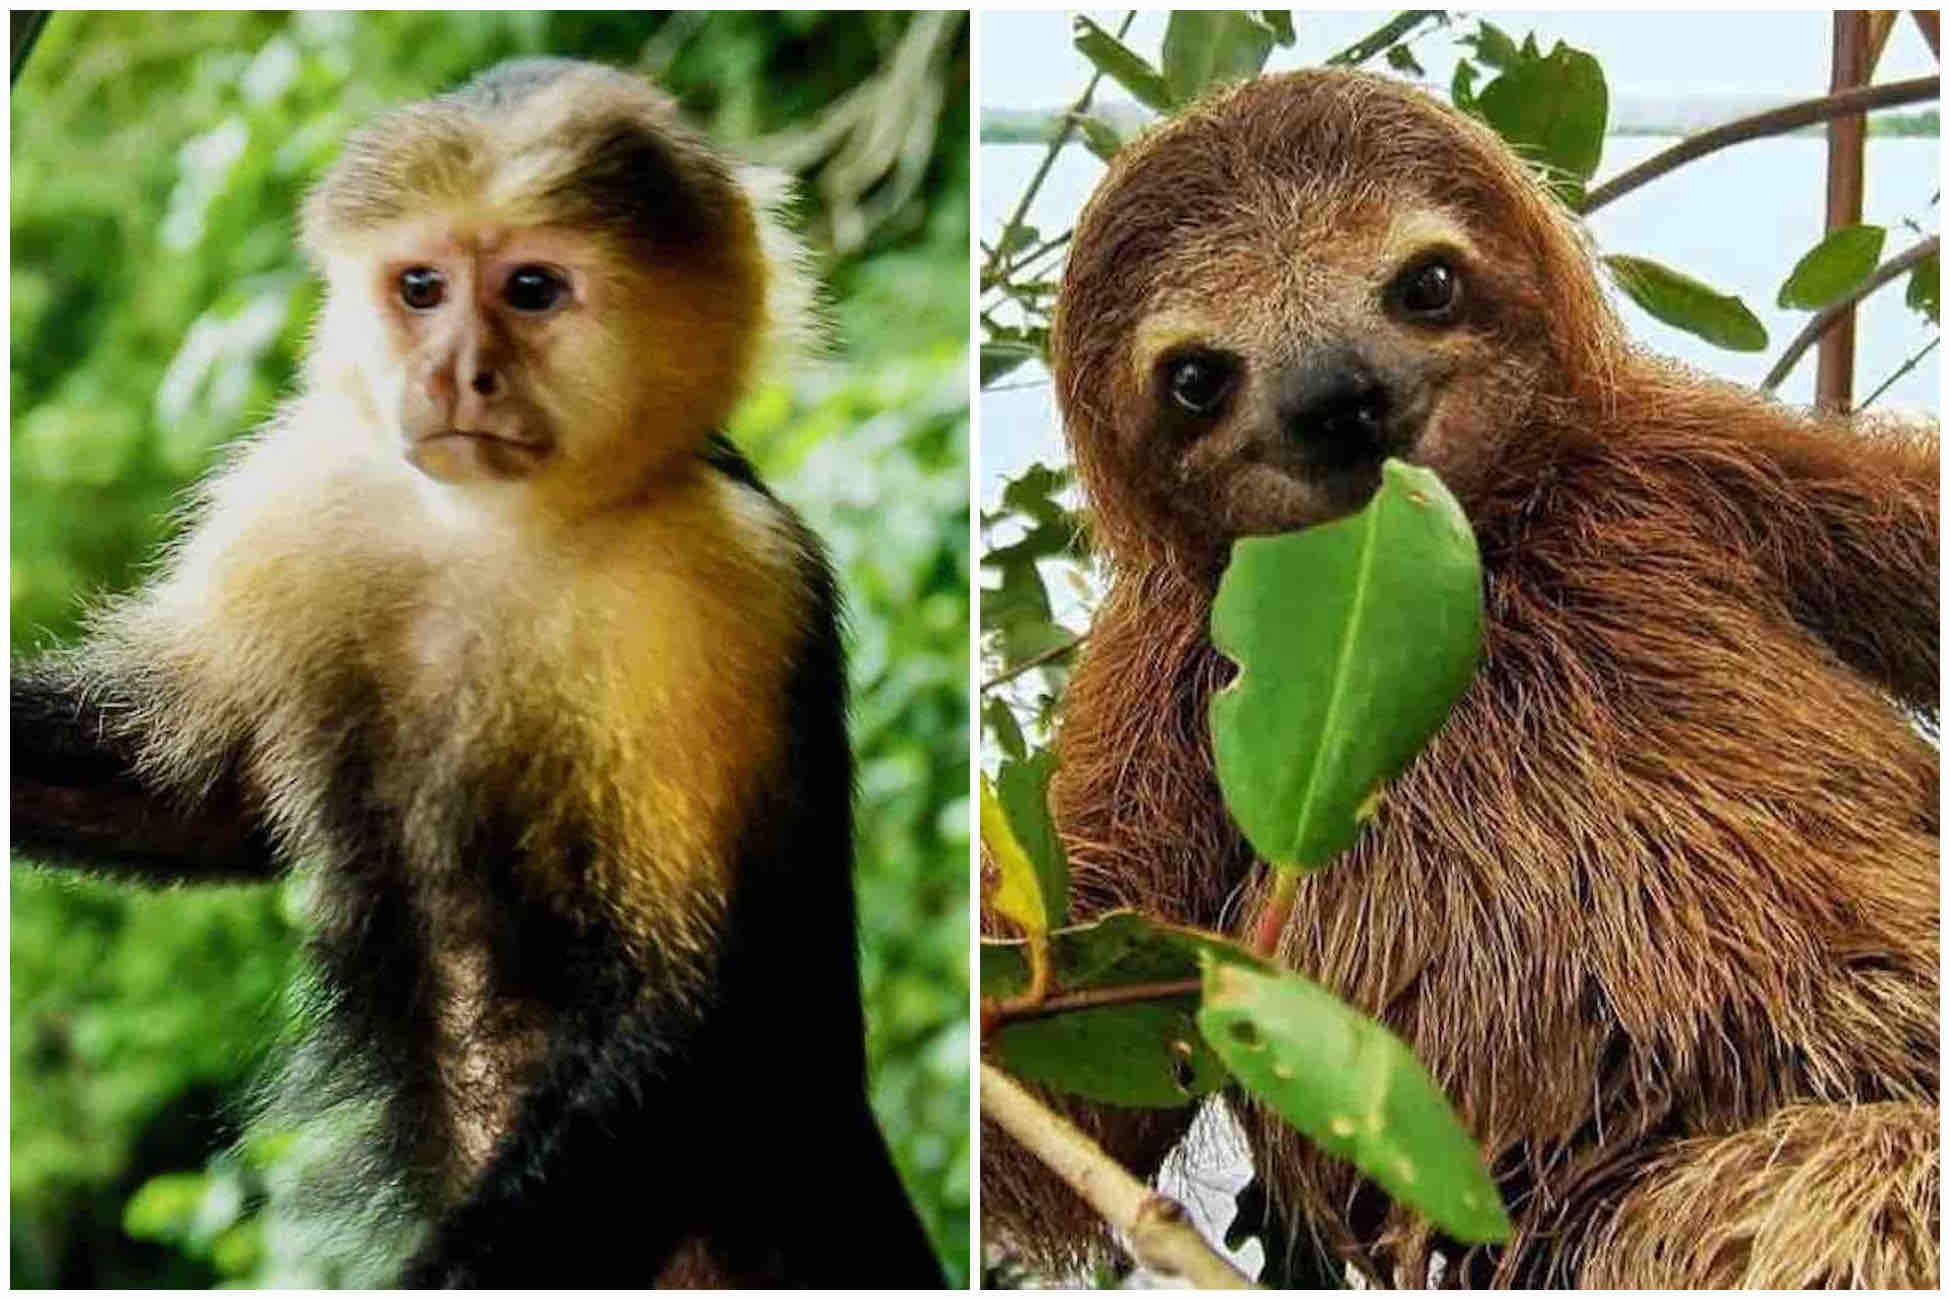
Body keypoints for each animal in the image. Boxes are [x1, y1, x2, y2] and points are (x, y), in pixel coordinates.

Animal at [12, 58, 945, 1289]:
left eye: (533, 288)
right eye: (421, 287)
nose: (459, 372)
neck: (500, 531)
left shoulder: (726, 580)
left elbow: (699, 1011)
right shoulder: (304, 482)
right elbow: (199, 799)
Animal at [982, 69, 1938, 1289]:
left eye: (1426, 283)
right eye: (1194, 377)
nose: (1336, 394)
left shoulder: (1695, 462)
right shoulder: (1168, 670)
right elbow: (1082, 1040)